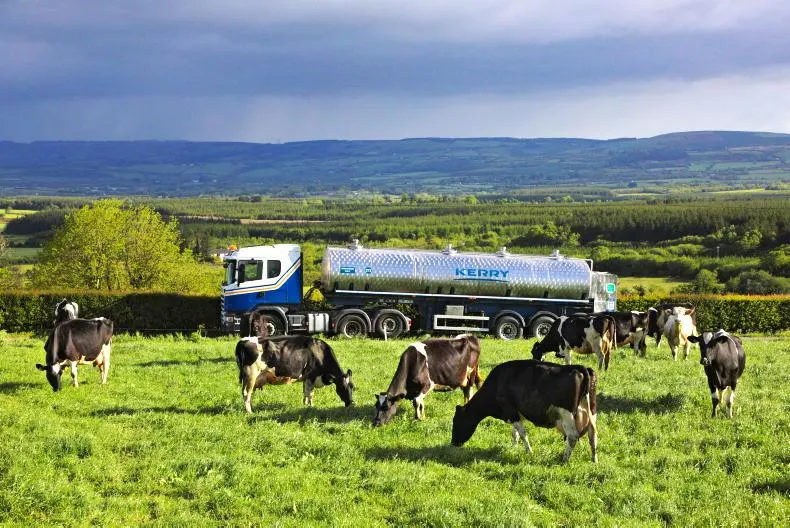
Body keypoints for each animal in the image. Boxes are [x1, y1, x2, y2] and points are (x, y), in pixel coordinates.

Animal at [452, 360, 600, 464]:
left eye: (456, 421)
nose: (453, 443)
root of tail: (578, 367)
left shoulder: (510, 410)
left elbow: (522, 434)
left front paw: (529, 451)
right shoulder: (515, 412)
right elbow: (515, 433)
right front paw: (514, 448)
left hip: (566, 414)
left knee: (573, 437)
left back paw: (563, 460)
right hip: (592, 411)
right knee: (593, 435)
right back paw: (594, 460)